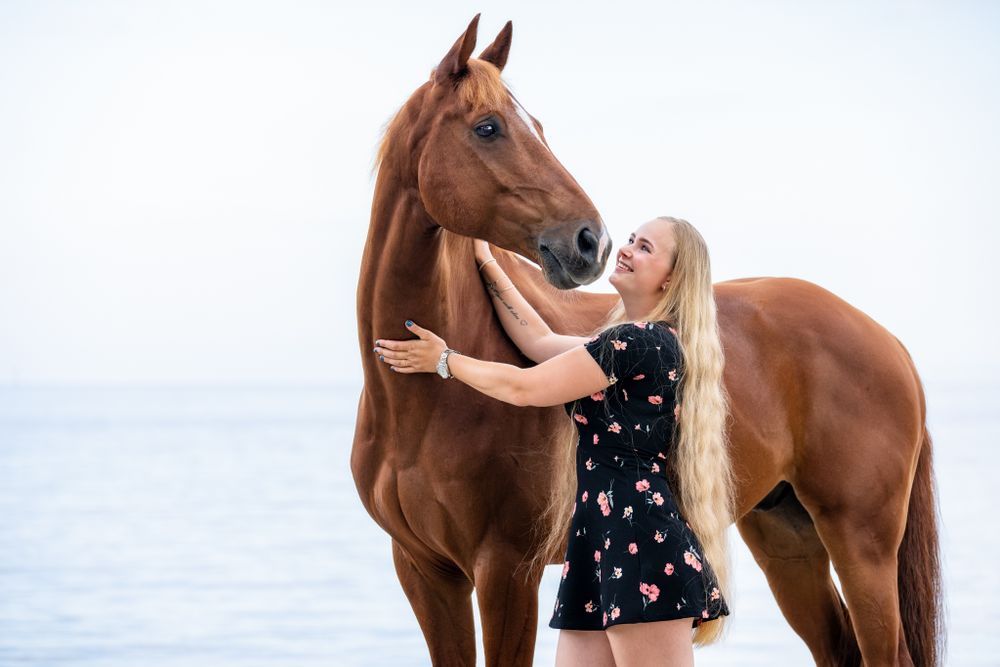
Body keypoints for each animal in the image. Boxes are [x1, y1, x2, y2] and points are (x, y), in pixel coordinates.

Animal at [352, 15, 942, 667]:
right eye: (488, 127)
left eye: (535, 127)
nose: (592, 242)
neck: (422, 405)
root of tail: (890, 344)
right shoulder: (426, 572)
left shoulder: (506, 572)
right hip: (787, 539)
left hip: (861, 546)